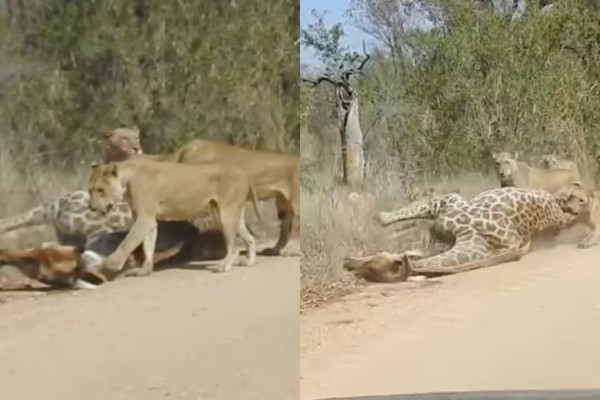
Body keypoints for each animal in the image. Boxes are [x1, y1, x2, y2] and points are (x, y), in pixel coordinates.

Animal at [87, 158, 268, 276]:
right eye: (90, 190)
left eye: (101, 190)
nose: (92, 207)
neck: (127, 179)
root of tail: (243, 172)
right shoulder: (148, 220)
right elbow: (148, 245)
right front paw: (145, 270)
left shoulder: (144, 218)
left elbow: (128, 243)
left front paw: (108, 265)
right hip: (235, 212)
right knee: (250, 238)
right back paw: (249, 261)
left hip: (226, 214)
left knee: (234, 246)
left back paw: (224, 266)